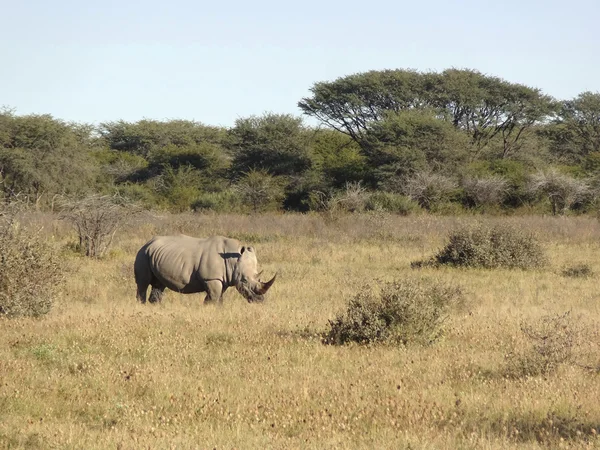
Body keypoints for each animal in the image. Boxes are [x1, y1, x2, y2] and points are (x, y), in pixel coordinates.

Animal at [134, 236, 276, 302]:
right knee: (143, 284)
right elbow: (213, 298)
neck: (232, 261)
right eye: (244, 280)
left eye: (258, 276)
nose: (260, 301)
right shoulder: (211, 278)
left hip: (155, 255)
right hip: (143, 254)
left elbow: (218, 298)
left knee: (159, 285)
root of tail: (147, 243)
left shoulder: (222, 279)